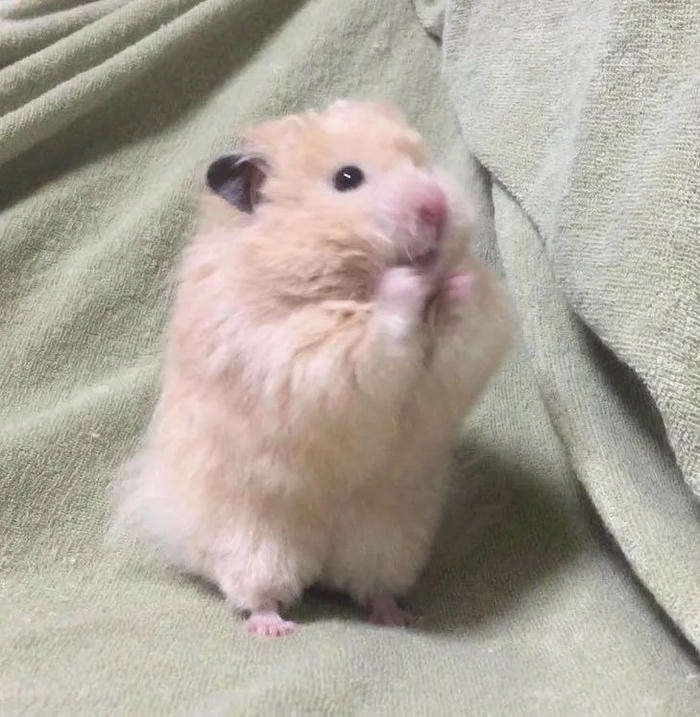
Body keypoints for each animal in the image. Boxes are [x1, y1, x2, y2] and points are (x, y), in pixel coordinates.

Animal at [113, 99, 513, 637]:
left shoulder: (466, 354)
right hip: (256, 538)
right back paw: (273, 627)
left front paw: (459, 279)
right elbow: (374, 330)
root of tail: (323, 561)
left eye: (420, 162)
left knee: (371, 585)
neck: (348, 280)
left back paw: (398, 616)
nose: (436, 206)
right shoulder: (295, 356)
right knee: (258, 590)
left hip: (389, 536)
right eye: (348, 178)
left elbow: (467, 326)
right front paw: (406, 281)